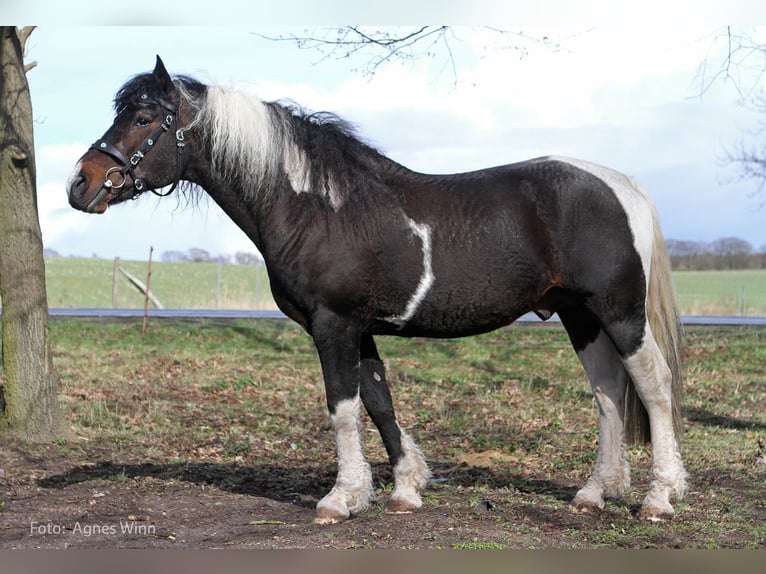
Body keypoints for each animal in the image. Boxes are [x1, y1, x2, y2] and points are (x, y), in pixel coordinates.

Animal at [67, 57, 688, 528]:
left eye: (144, 116)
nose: (81, 183)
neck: (318, 207)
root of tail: (622, 184)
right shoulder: (359, 329)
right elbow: (380, 400)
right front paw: (404, 489)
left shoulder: (332, 325)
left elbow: (343, 408)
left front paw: (340, 499)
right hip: (580, 317)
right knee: (608, 393)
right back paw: (593, 493)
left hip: (619, 313)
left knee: (653, 387)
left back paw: (658, 498)